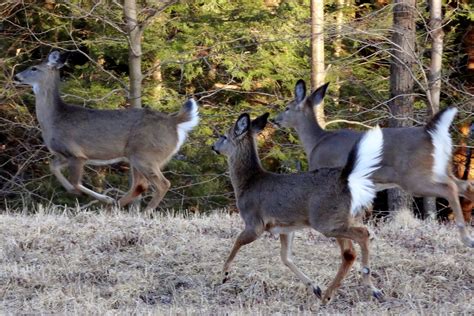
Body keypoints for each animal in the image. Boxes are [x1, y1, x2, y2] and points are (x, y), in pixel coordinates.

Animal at [12, 51, 198, 210]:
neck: (54, 119)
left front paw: (102, 197)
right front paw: (79, 193)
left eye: (34, 68)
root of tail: (174, 122)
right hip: (137, 156)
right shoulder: (64, 154)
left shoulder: (76, 154)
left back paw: (142, 211)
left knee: (162, 184)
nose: (16, 76)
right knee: (140, 185)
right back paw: (115, 208)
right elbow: (53, 167)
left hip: (146, 154)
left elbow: (75, 182)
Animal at [213, 111, 386, 304]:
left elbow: (237, 242)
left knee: (362, 235)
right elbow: (285, 257)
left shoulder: (255, 222)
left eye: (224, 136)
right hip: (345, 217)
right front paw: (314, 287)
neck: (247, 183)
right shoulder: (285, 227)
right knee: (352, 250)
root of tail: (347, 179)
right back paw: (335, 293)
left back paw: (364, 287)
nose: (213, 147)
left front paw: (224, 274)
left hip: (325, 220)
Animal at [272, 78, 474, 247]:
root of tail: (430, 134)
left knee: (450, 188)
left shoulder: (324, 170)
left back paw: (466, 239)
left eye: (287, 107)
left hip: (414, 176)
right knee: (465, 185)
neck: (317, 142)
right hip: (442, 169)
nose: (274, 120)